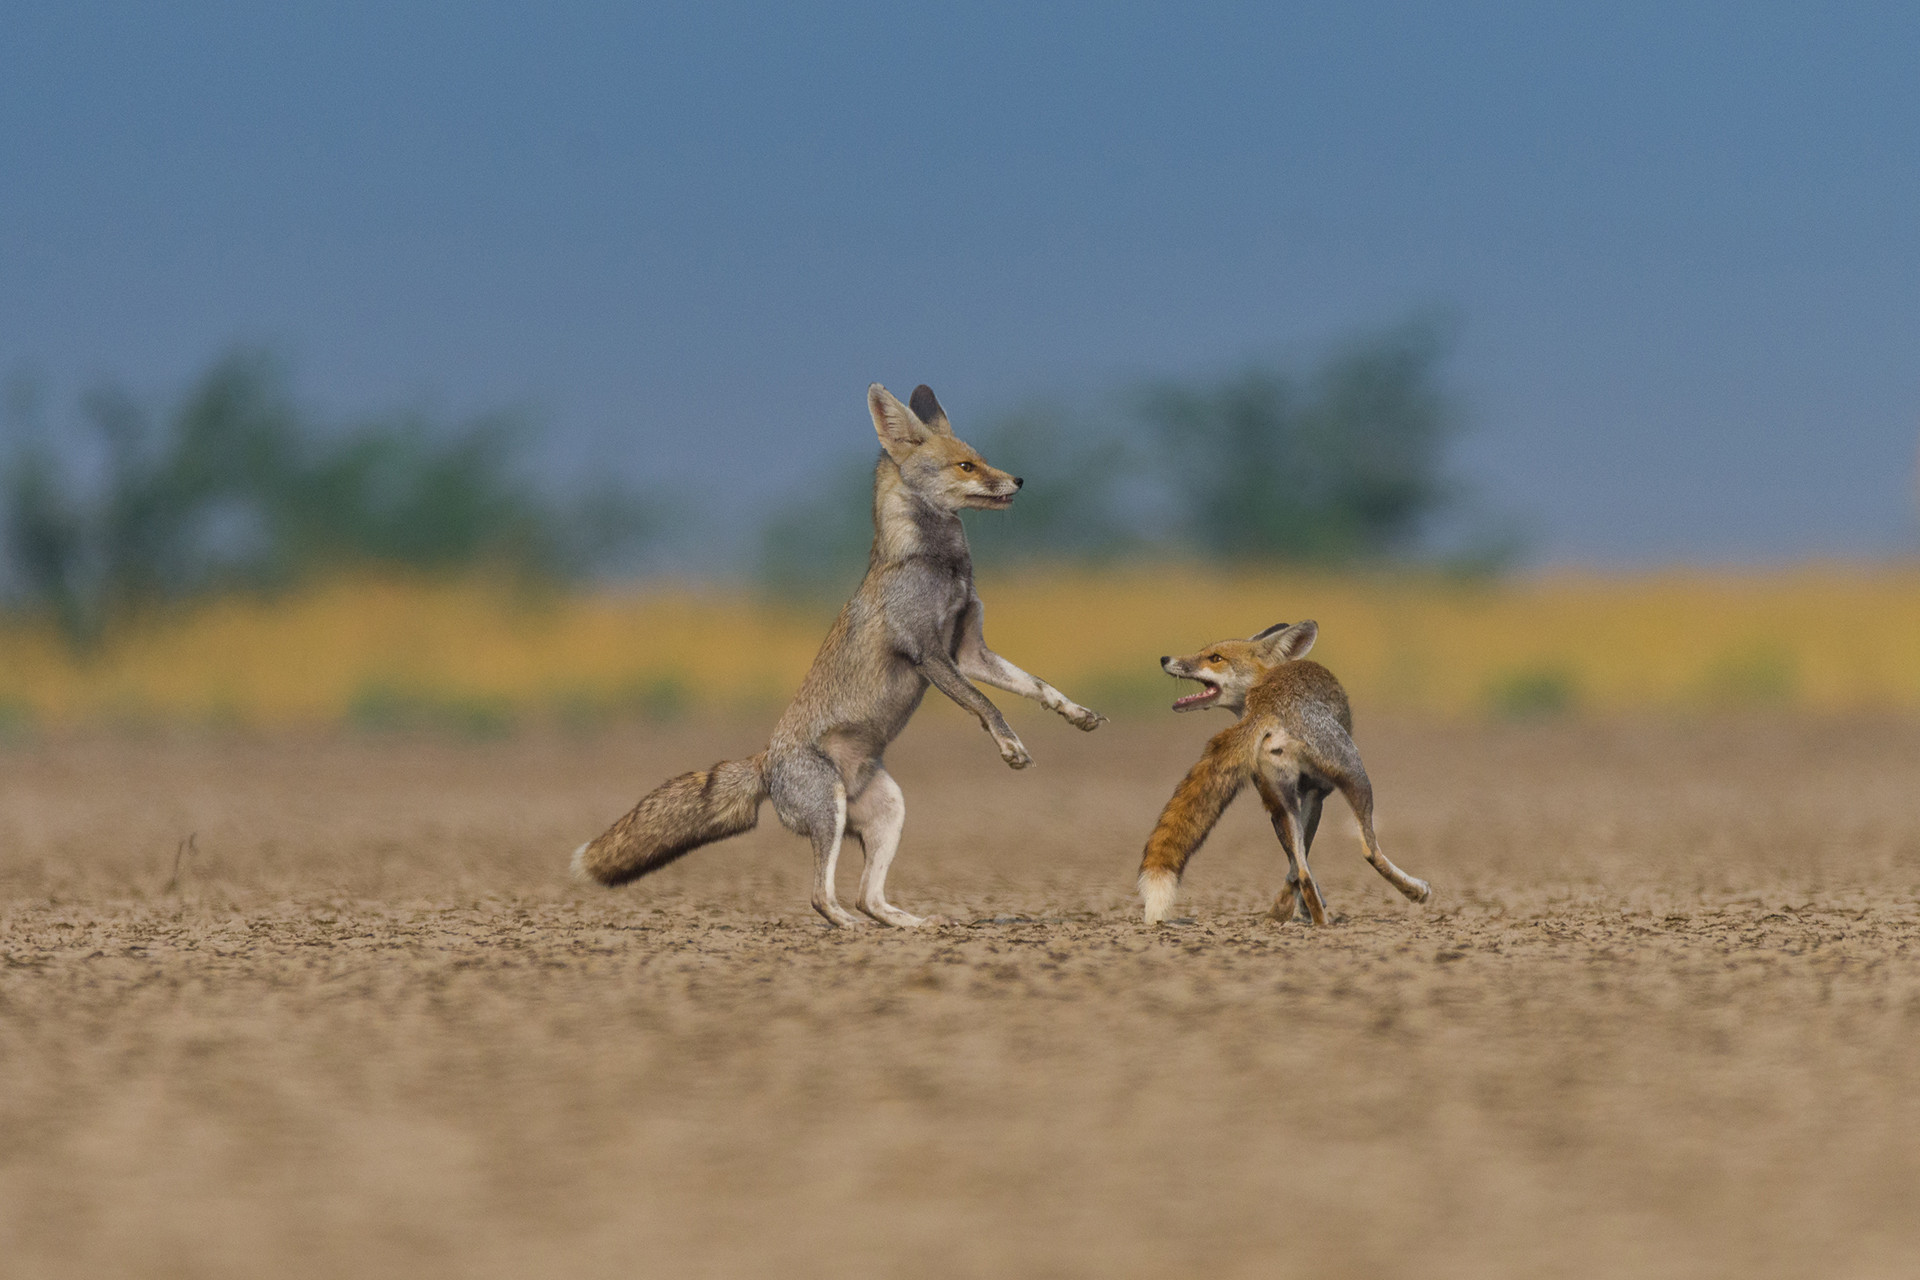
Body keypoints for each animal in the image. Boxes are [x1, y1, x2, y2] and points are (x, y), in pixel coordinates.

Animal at [573, 383, 1106, 927]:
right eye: (966, 466)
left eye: (981, 459)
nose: (1018, 479)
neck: (938, 565)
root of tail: (765, 761)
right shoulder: (930, 654)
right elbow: (987, 705)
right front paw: (1010, 747)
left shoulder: (970, 650)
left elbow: (1036, 686)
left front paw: (1076, 714)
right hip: (829, 813)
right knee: (823, 897)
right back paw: (848, 929)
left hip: (888, 812)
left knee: (867, 896)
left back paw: (908, 925)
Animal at [1136, 620, 1432, 926]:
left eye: (1215, 657)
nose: (1164, 659)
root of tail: (1268, 704)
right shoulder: (1317, 794)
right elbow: (1304, 858)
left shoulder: (1293, 802)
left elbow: (1298, 865)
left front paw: (1286, 908)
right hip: (1356, 774)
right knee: (1370, 851)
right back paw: (1412, 892)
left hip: (1279, 802)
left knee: (1303, 872)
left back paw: (1315, 921)